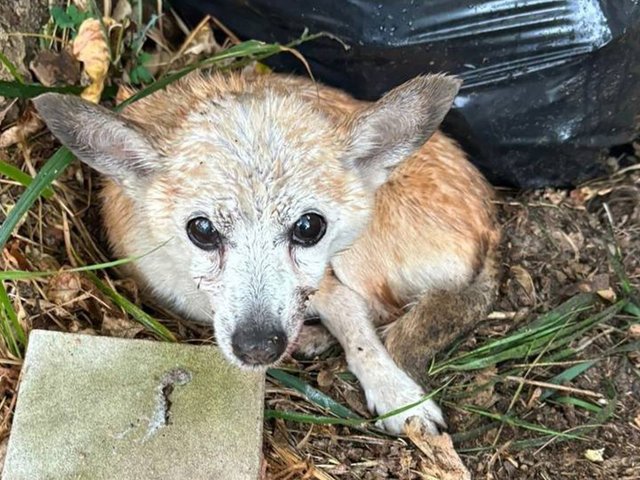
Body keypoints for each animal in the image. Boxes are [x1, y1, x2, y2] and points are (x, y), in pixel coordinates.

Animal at [33, 71, 500, 436]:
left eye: (309, 227)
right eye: (202, 230)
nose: (259, 347)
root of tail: (493, 223)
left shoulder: (324, 281)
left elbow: (356, 327)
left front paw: (396, 395)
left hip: (359, 254)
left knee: (384, 309)